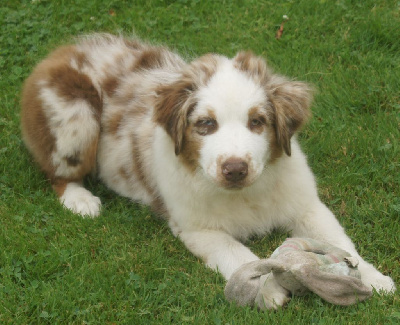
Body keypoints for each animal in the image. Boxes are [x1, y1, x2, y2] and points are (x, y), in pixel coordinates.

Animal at [20, 34, 396, 306]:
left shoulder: (307, 205)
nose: (235, 169)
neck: (246, 194)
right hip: (75, 115)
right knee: (57, 171)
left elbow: (341, 243)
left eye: (257, 122)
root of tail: (62, 51)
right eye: (205, 125)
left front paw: (373, 279)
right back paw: (80, 200)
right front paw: (266, 289)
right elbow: (237, 254)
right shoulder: (197, 228)